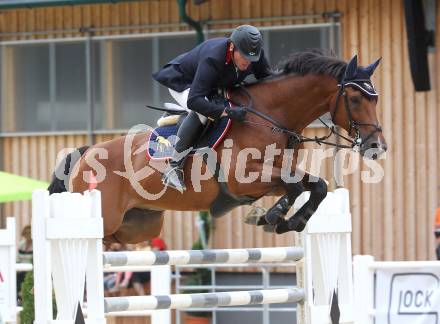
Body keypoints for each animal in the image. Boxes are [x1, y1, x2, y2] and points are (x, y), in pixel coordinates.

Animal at [46, 50, 386, 243]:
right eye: (355, 98)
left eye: (376, 98)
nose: (376, 146)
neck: (271, 116)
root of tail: (88, 152)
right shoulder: (244, 178)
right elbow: (296, 187)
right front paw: (272, 217)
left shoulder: (273, 176)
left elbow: (316, 185)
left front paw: (284, 221)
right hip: (103, 214)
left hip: (139, 226)